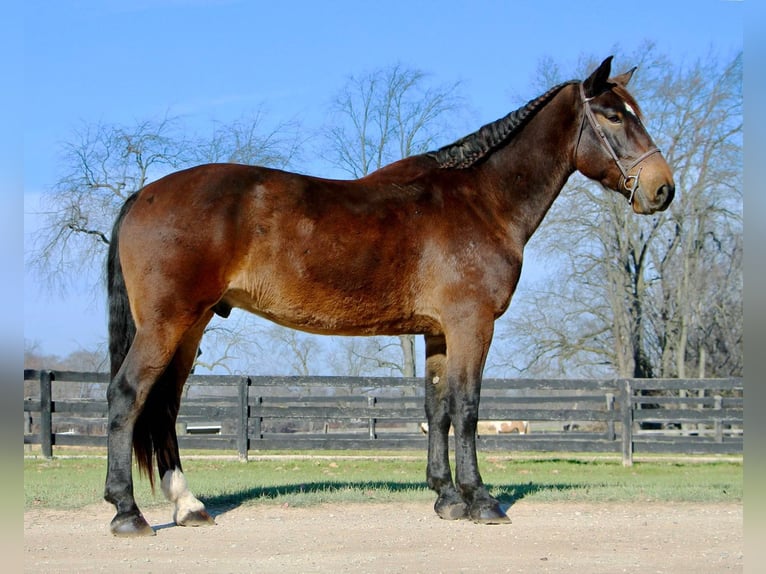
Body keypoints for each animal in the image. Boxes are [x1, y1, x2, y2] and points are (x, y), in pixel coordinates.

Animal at [105, 56, 676, 536]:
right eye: (613, 116)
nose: (663, 188)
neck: (481, 202)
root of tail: (145, 194)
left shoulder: (438, 333)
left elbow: (438, 409)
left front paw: (446, 497)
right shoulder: (472, 325)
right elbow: (467, 407)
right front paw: (481, 500)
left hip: (192, 326)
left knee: (165, 406)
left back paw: (188, 506)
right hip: (168, 324)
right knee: (127, 395)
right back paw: (128, 514)